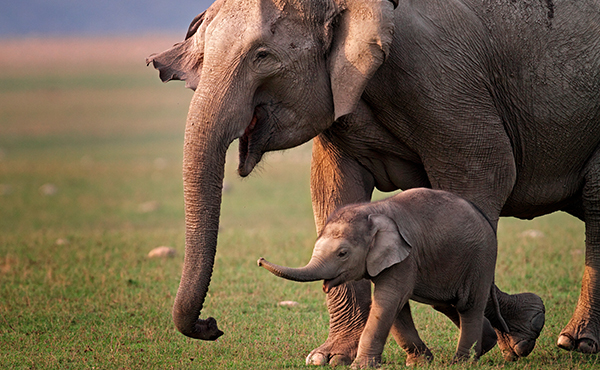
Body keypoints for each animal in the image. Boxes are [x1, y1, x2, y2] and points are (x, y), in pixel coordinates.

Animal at [258, 189, 506, 368]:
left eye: (342, 253)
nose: (259, 260)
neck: (372, 211)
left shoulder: (406, 257)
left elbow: (388, 300)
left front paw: (360, 366)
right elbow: (396, 307)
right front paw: (419, 363)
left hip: (480, 259)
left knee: (468, 306)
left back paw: (462, 362)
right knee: (445, 304)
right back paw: (487, 344)